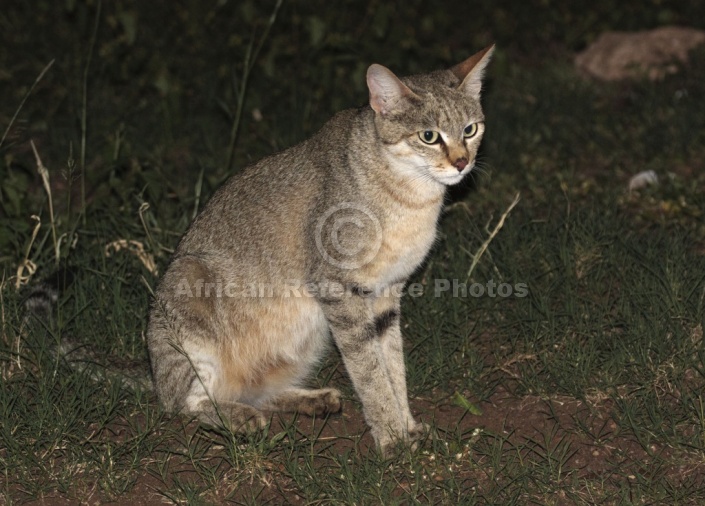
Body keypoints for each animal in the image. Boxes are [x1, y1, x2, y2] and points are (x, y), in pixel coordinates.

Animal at [146, 44, 492, 454]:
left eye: (470, 130)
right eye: (429, 136)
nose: (462, 162)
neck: (411, 198)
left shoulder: (386, 293)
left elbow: (393, 365)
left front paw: (405, 424)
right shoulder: (338, 288)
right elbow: (370, 371)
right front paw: (392, 436)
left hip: (308, 338)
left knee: (255, 392)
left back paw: (311, 400)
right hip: (190, 289)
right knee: (189, 404)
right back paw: (238, 417)